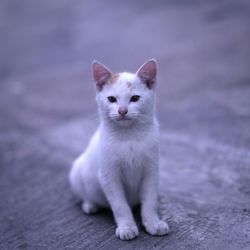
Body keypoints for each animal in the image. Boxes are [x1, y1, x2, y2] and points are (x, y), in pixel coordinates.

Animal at [69, 59, 169, 240]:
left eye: (135, 98)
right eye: (112, 99)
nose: (122, 111)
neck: (129, 137)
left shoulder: (151, 172)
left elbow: (149, 202)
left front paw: (153, 223)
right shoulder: (109, 176)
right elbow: (120, 206)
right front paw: (127, 227)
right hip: (77, 172)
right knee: (85, 195)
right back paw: (90, 205)